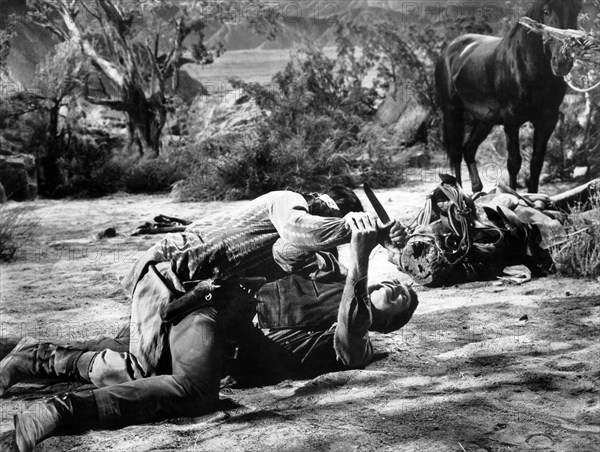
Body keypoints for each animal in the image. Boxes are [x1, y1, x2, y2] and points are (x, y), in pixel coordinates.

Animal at [436, 0, 580, 192]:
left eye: (576, 9)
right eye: (546, 11)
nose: (562, 62)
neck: (526, 65)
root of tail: (450, 49)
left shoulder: (547, 120)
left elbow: (536, 163)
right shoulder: (512, 120)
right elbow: (514, 163)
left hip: (484, 121)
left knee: (468, 150)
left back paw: (477, 189)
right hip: (452, 111)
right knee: (456, 153)